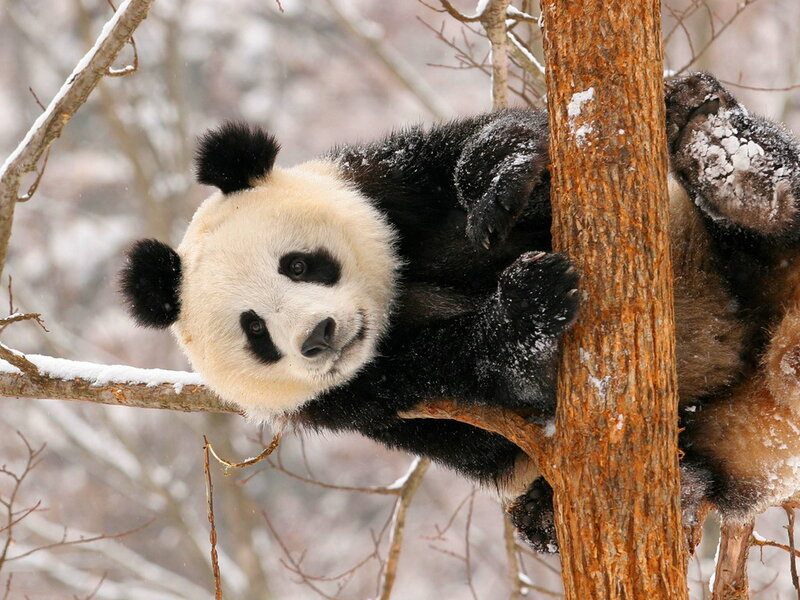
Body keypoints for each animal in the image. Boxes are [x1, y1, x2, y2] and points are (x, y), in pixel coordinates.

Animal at [120, 72, 800, 552]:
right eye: (256, 330)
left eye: (300, 264)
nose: (319, 336)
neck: (395, 305)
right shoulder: (361, 399)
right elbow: (481, 407)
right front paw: (528, 304)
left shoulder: (385, 185)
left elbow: (475, 154)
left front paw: (503, 180)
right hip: (715, 435)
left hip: (720, 248)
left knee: (773, 202)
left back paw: (721, 149)